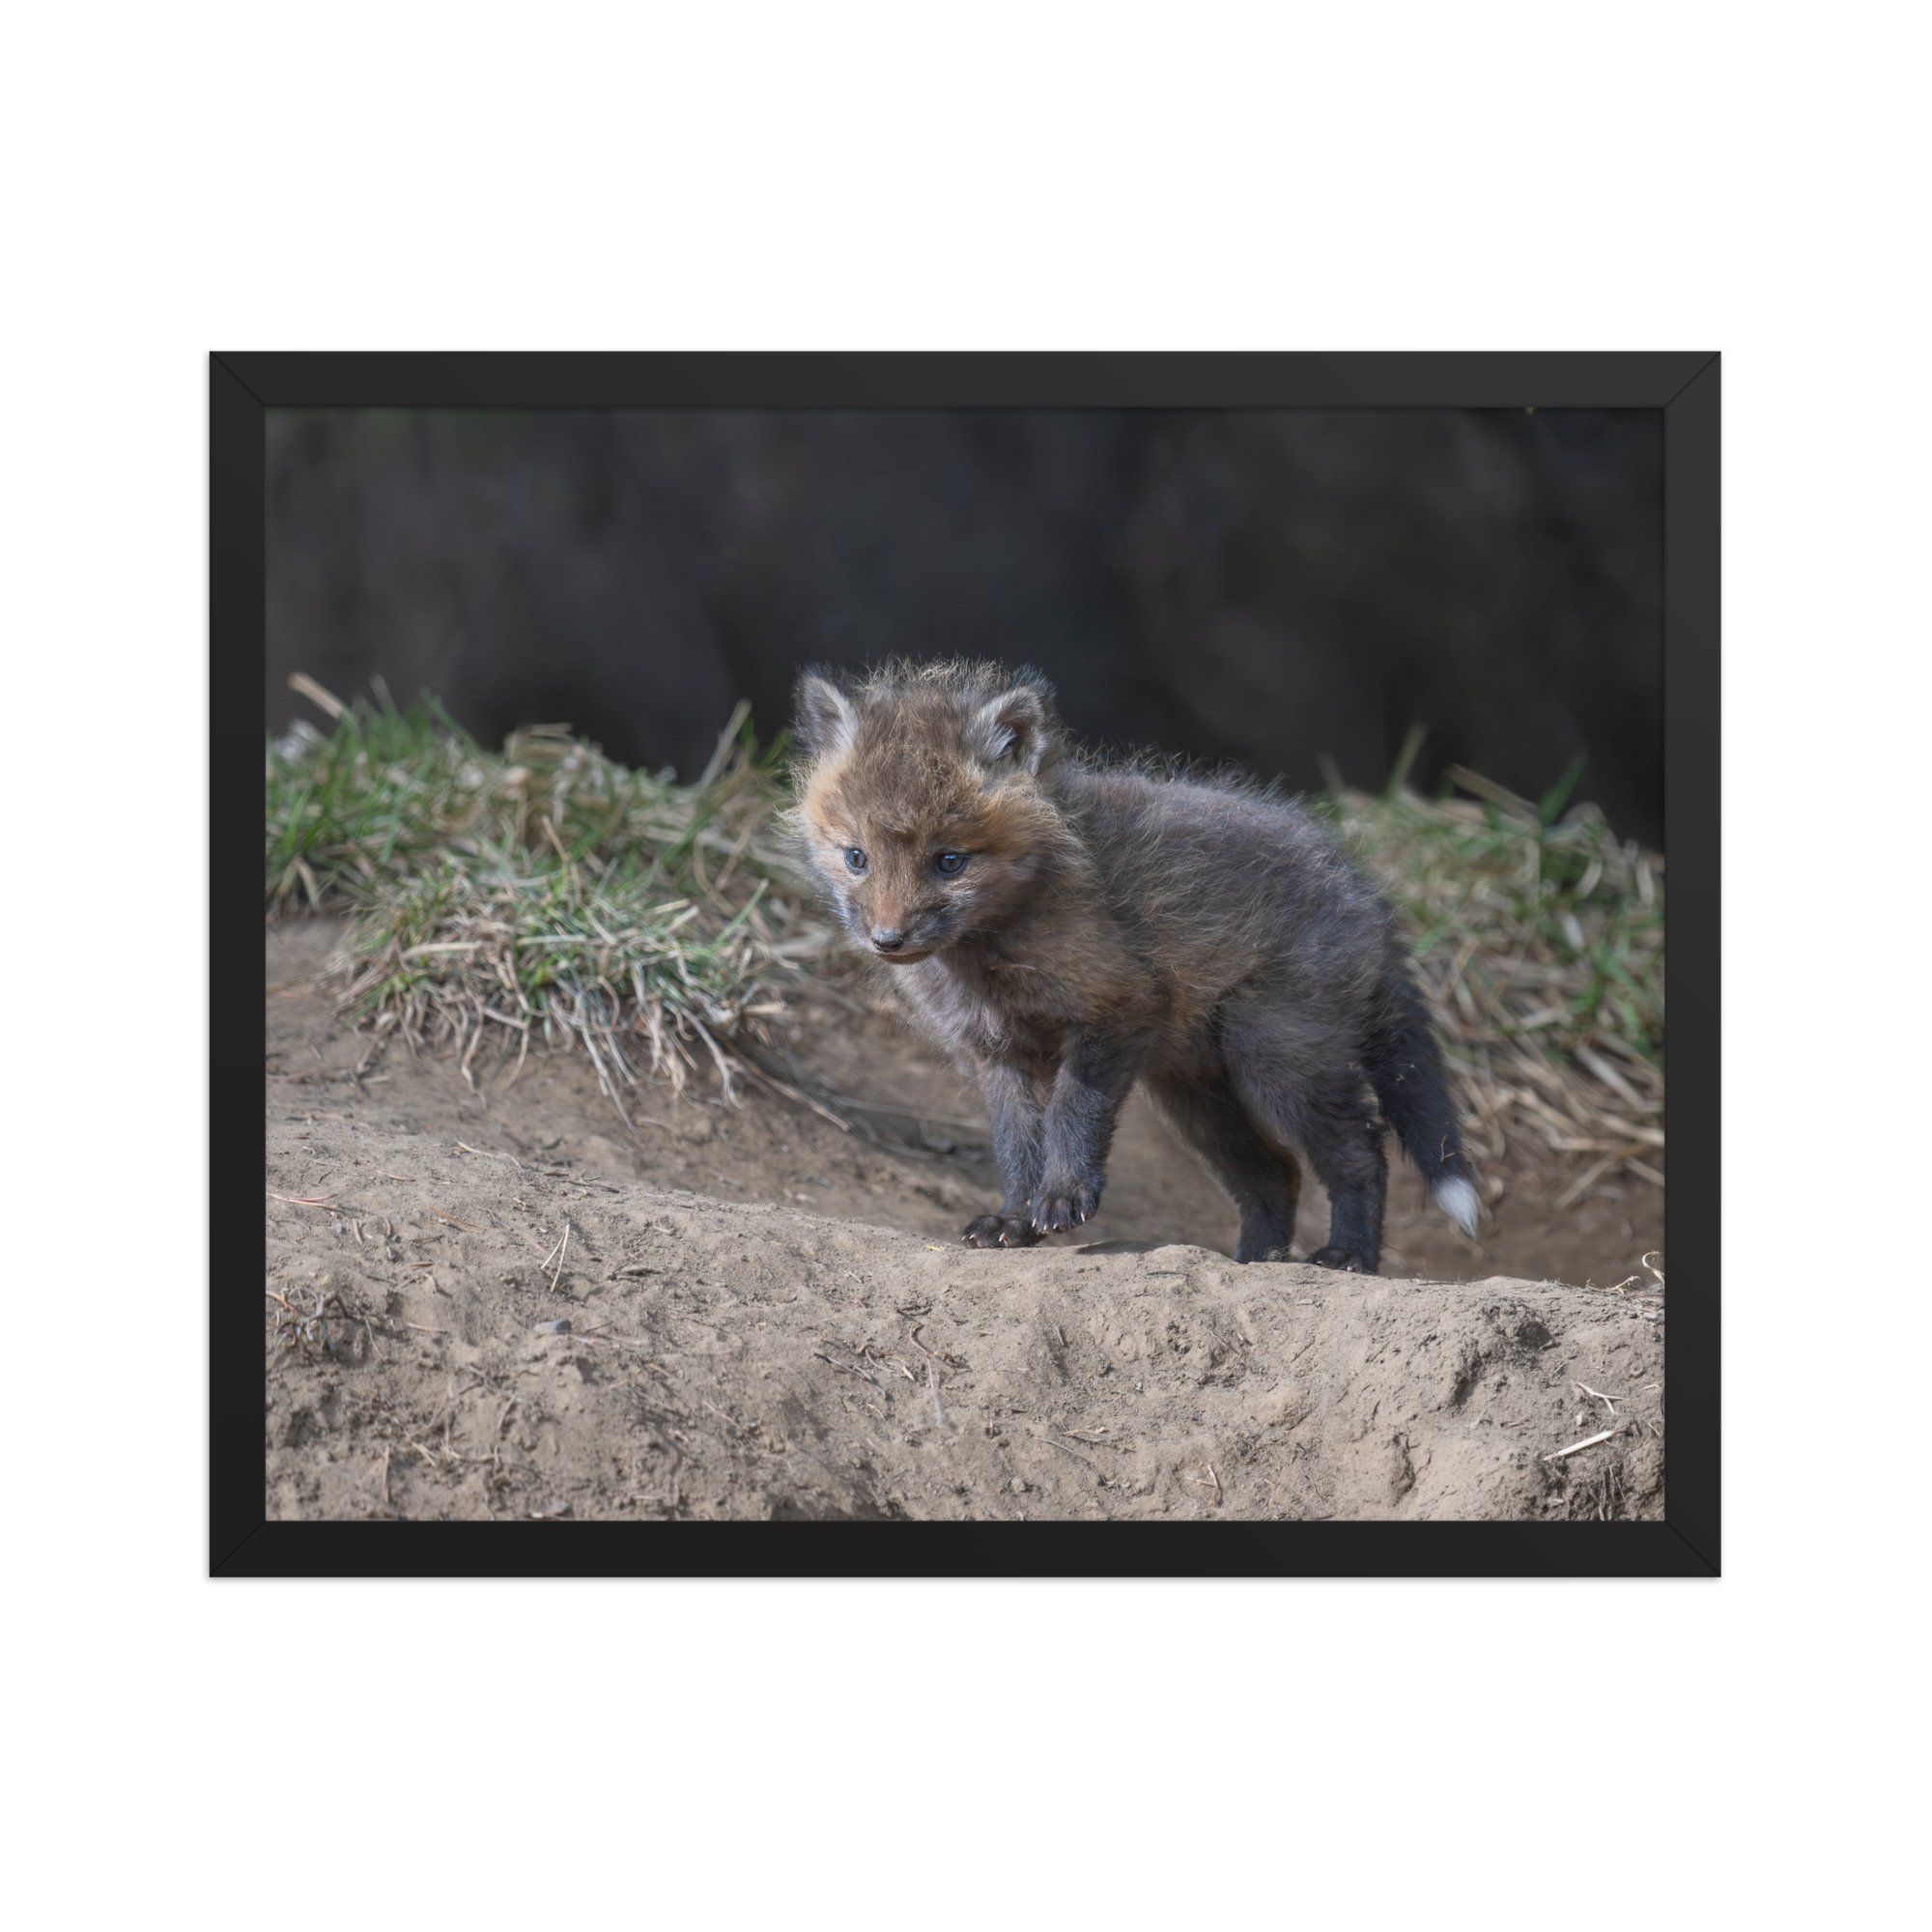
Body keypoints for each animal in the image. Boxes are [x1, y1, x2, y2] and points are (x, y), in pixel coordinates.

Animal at [789, 659, 1480, 1273]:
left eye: (949, 862)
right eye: (856, 858)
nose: (887, 940)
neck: (991, 959)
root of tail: (1367, 894)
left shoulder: (1117, 1007)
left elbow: (1072, 1114)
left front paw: (1063, 1198)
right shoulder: (1000, 1052)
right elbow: (1017, 1146)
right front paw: (1014, 1219)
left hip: (1276, 1061)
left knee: (1361, 1151)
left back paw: (1348, 1256)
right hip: (1196, 1096)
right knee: (1275, 1174)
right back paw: (1255, 1261)